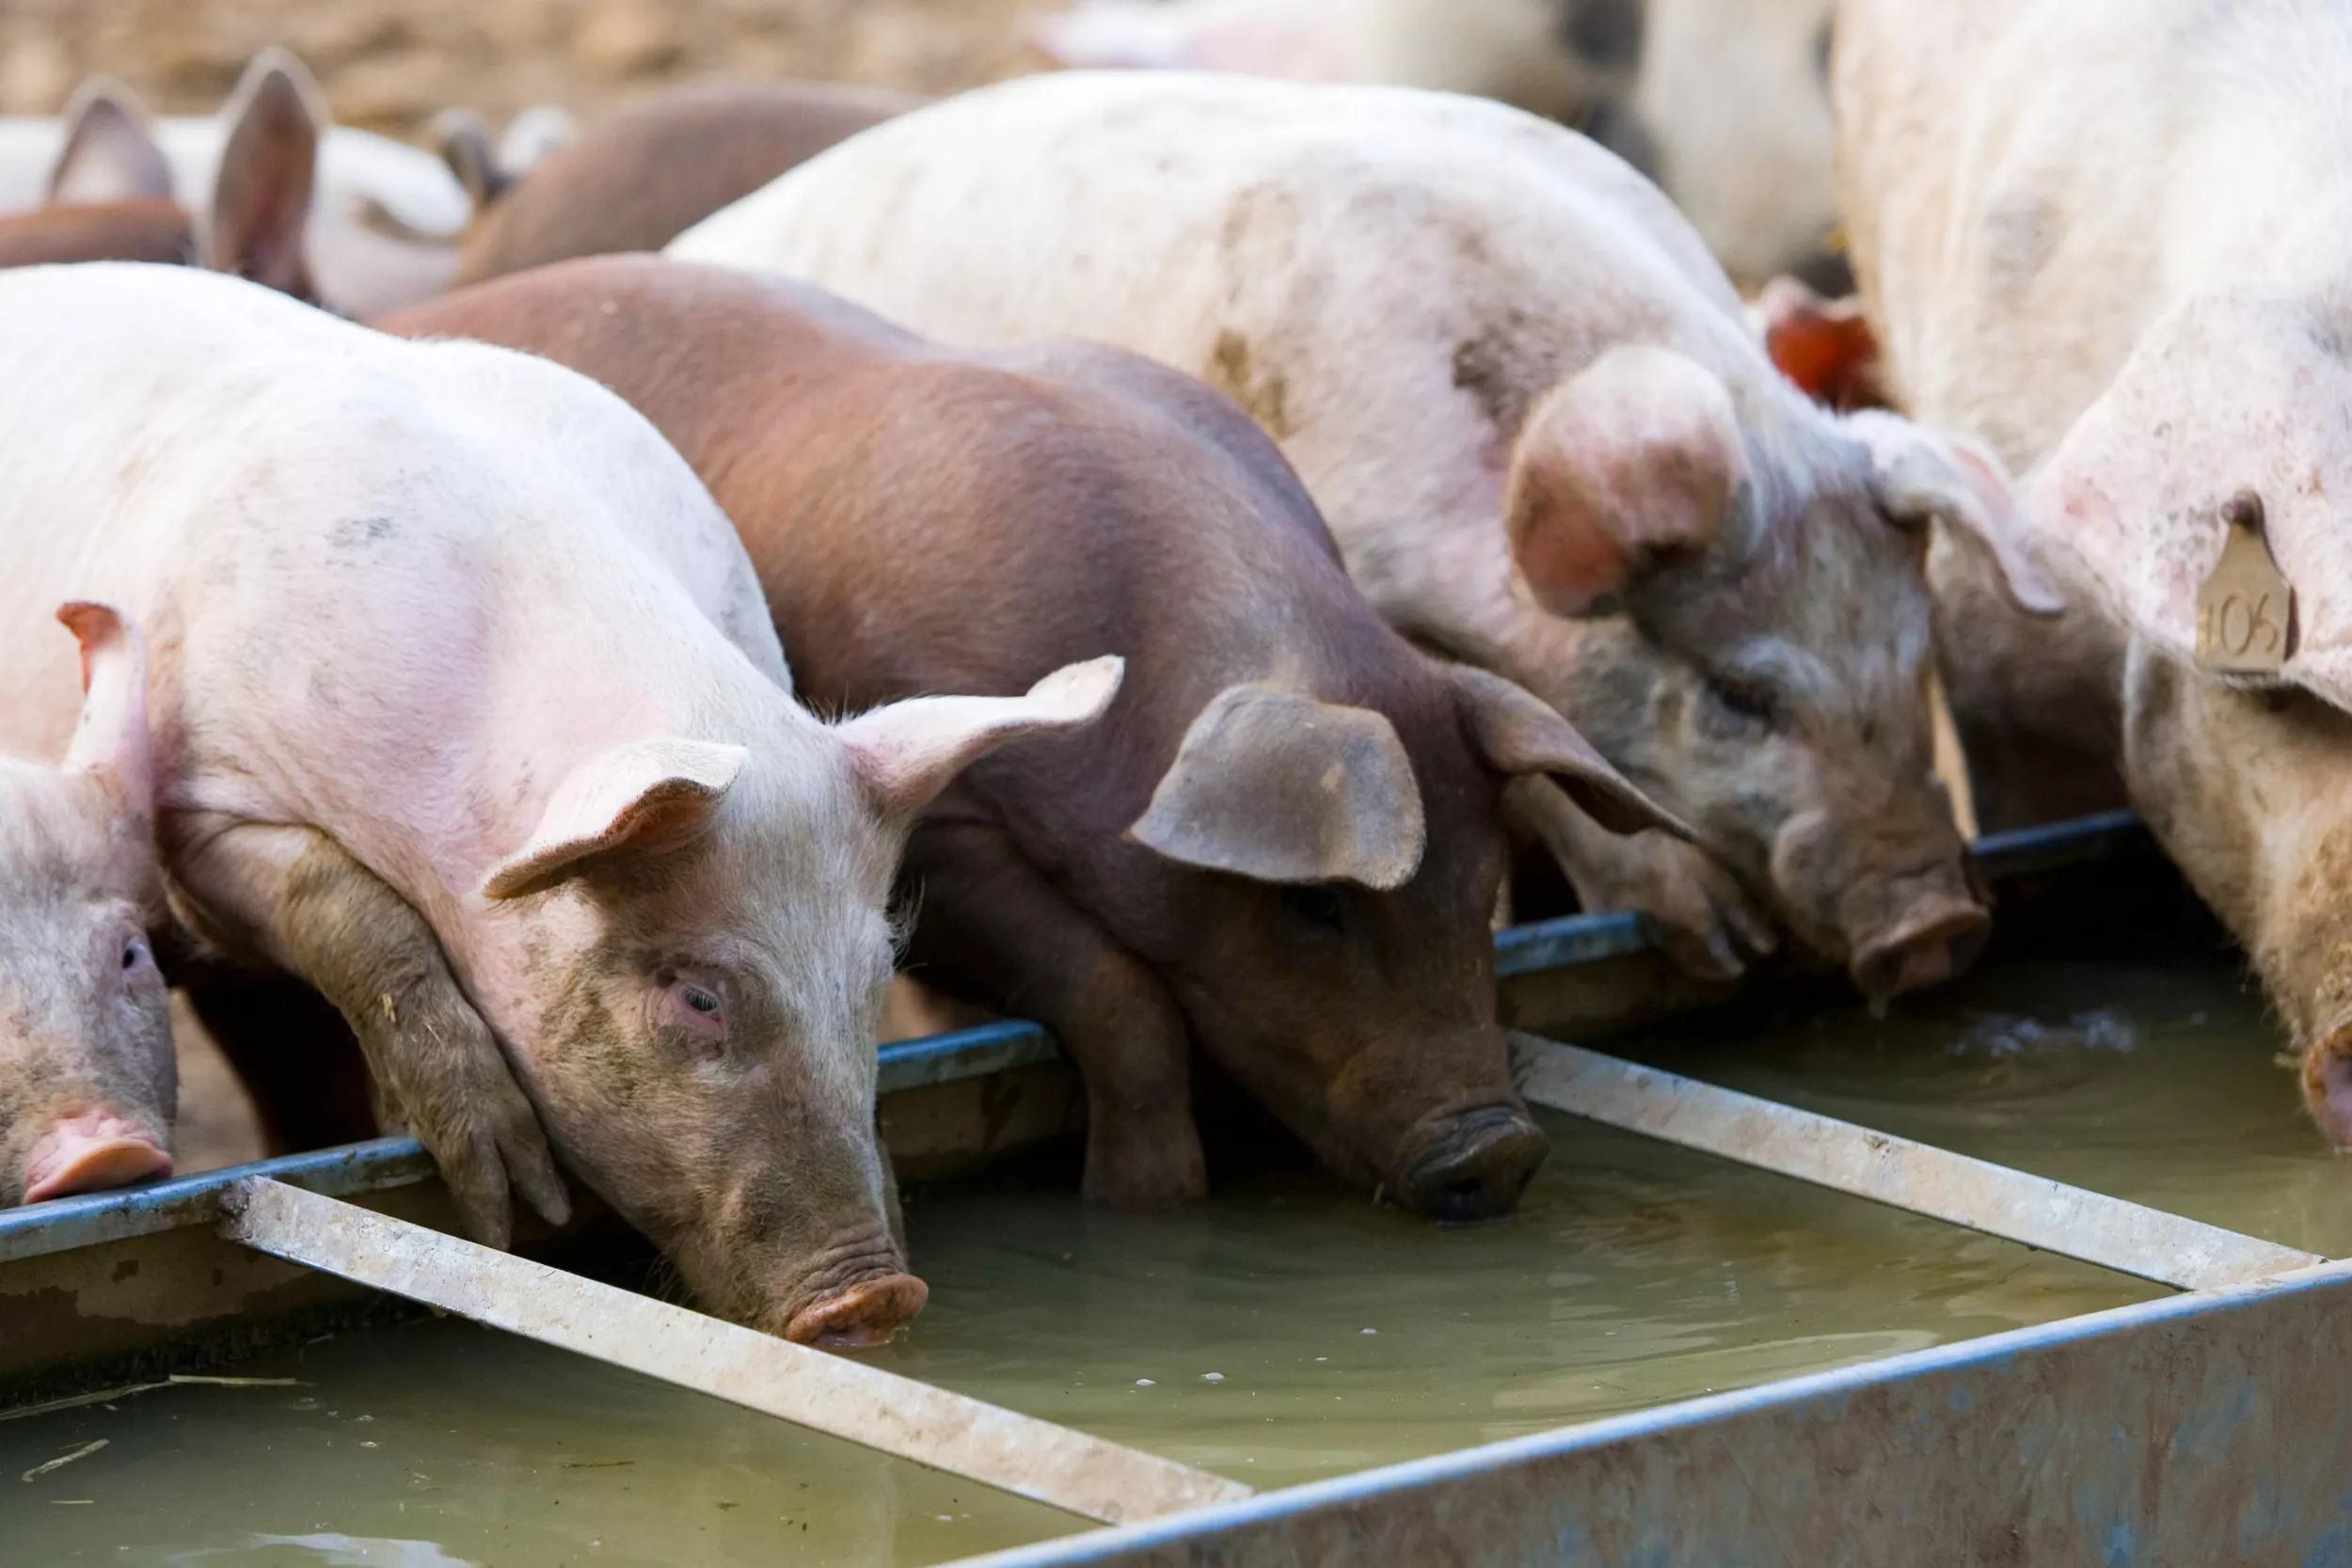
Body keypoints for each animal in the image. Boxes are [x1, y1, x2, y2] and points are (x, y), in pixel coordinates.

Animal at [380, 255, 1680, 1218]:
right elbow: (1114, 988)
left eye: (1486, 881)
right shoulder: (936, 826)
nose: (1498, 1150)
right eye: (1316, 906)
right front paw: (1146, 1202)